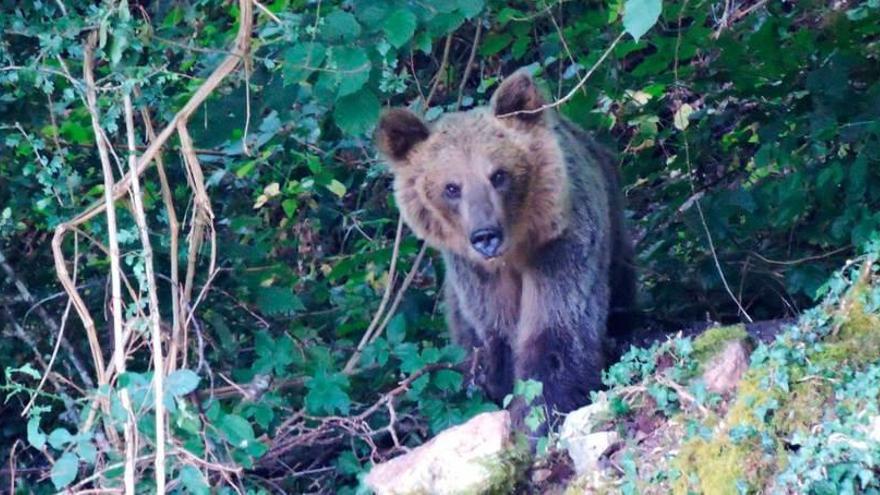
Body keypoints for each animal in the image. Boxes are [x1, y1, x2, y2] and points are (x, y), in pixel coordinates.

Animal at [374, 67, 636, 414]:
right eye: (451, 187)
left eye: (499, 174)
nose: (485, 236)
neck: (515, 251)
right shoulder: (476, 274)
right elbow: (498, 336)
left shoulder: (561, 244)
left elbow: (557, 324)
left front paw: (541, 410)